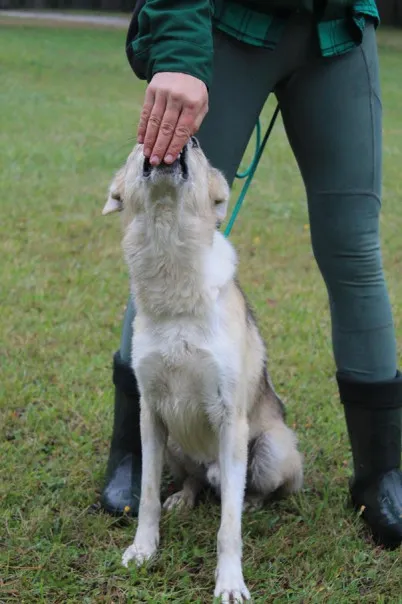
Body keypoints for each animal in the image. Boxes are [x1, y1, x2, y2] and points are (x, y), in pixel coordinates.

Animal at [102, 139, 304, 600]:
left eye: (198, 151)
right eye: (138, 143)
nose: (190, 139)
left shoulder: (231, 420)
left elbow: (229, 526)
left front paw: (230, 582)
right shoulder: (151, 413)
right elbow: (147, 497)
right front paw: (143, 549)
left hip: (271, 448)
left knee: (251, 490)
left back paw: (251, 501)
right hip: (176, 444)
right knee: (194, 479)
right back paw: (184, 497)